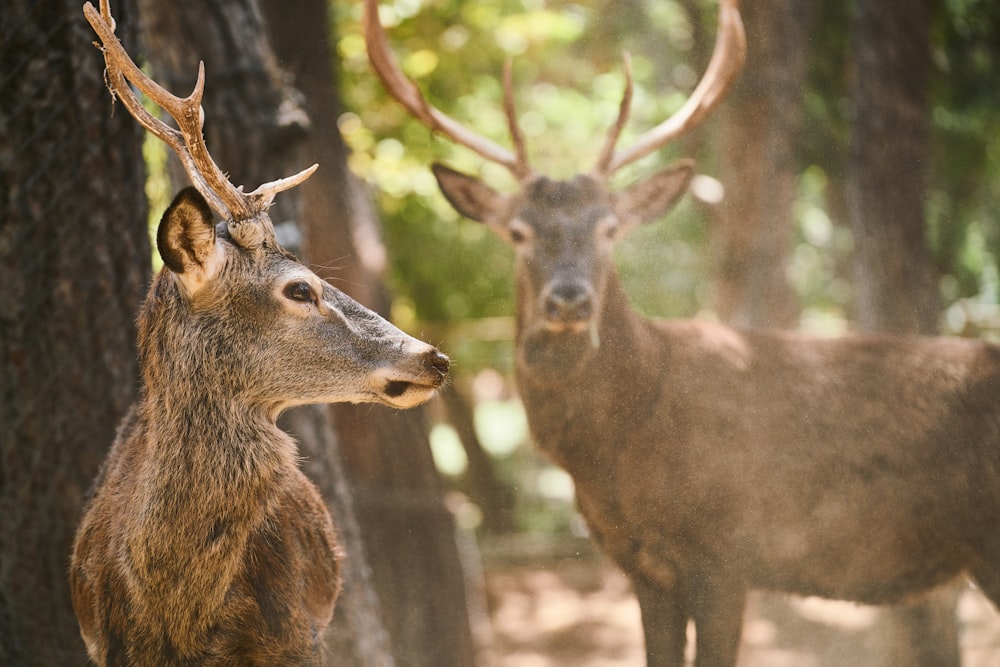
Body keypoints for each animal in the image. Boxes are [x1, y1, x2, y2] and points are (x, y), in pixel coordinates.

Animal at [366, 1, 1000, 667]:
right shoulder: (641, 565)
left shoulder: (727, 552)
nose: (570, 298)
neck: (616, 452)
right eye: (518, 231)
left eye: (610, 228)